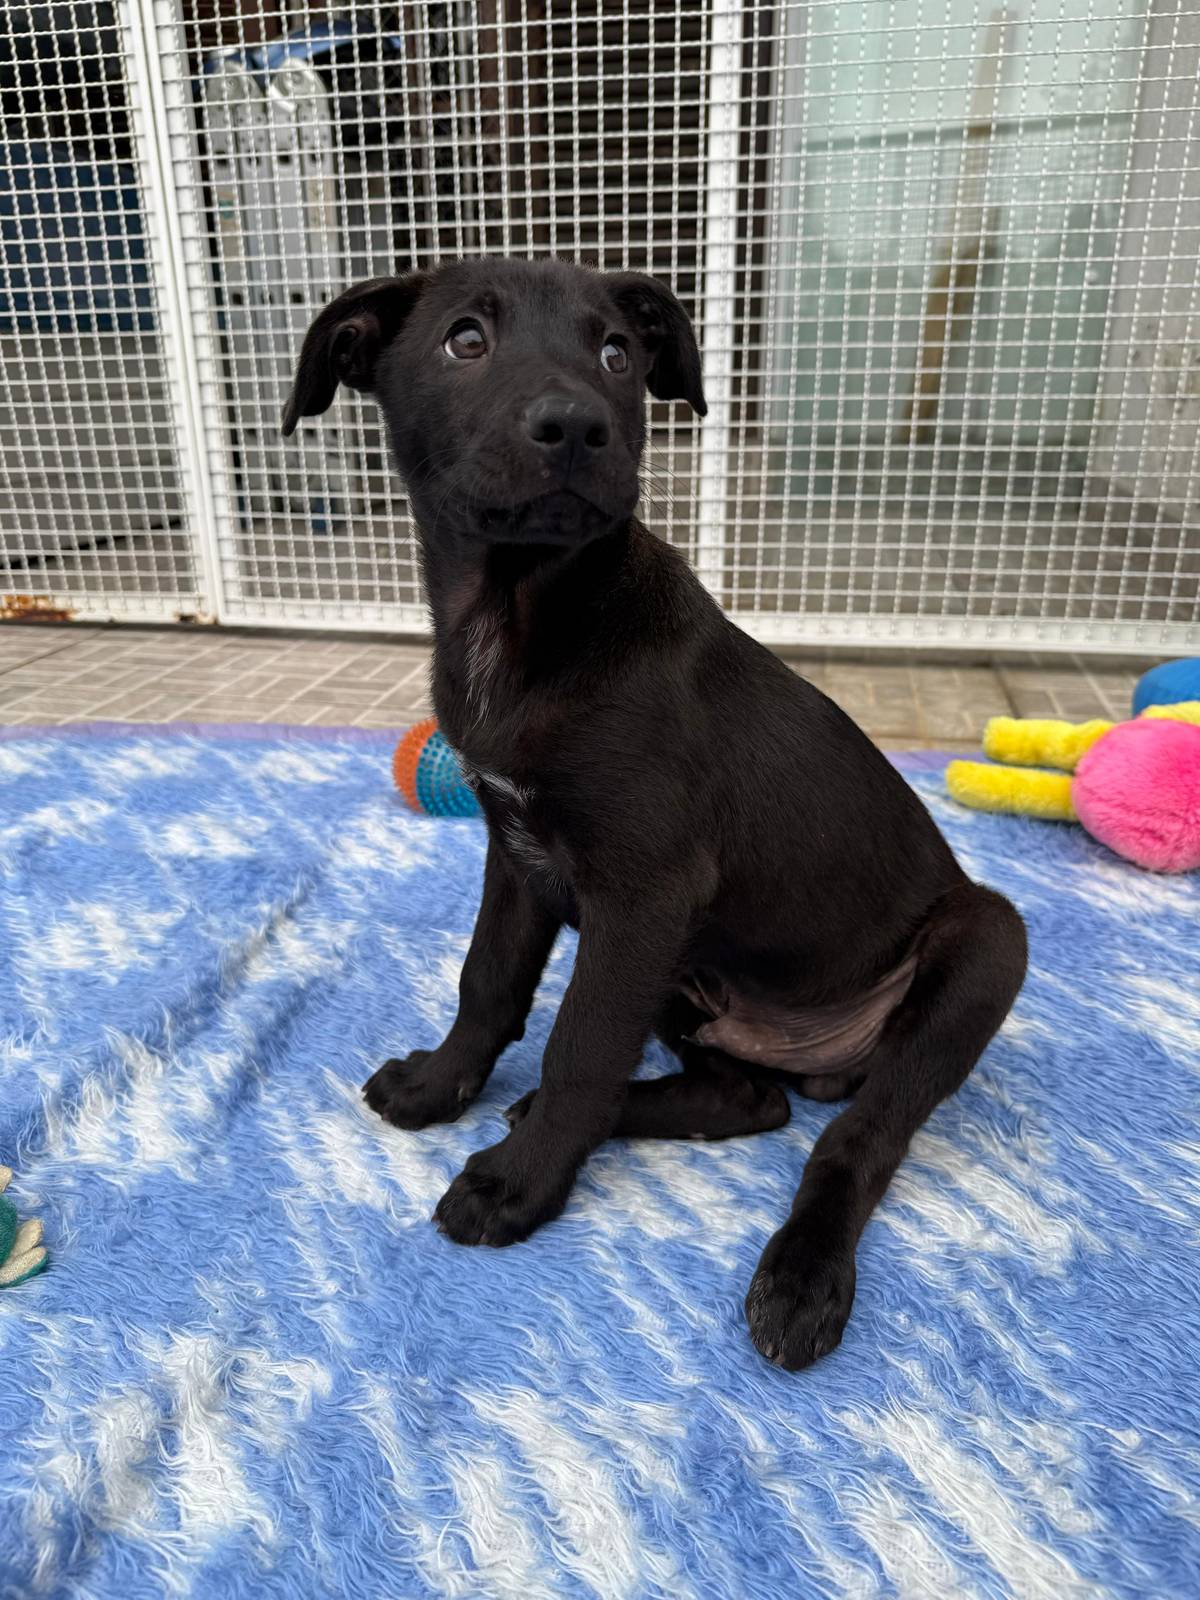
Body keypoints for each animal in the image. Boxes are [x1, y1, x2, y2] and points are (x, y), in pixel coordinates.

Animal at [283, 257, 1027, 1369]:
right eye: (466, 341)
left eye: (617, 354)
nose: (576, 427)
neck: (521, 618)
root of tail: (817, 1060)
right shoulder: (518, 853)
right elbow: (488, 984)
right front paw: (442, 1087)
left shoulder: (643, 893)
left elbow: (582, 1045)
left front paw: (519, 1183)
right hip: (693, 981)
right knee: (748, 1098)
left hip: (984, 943)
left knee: (860, 1137)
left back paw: (800, 1275)